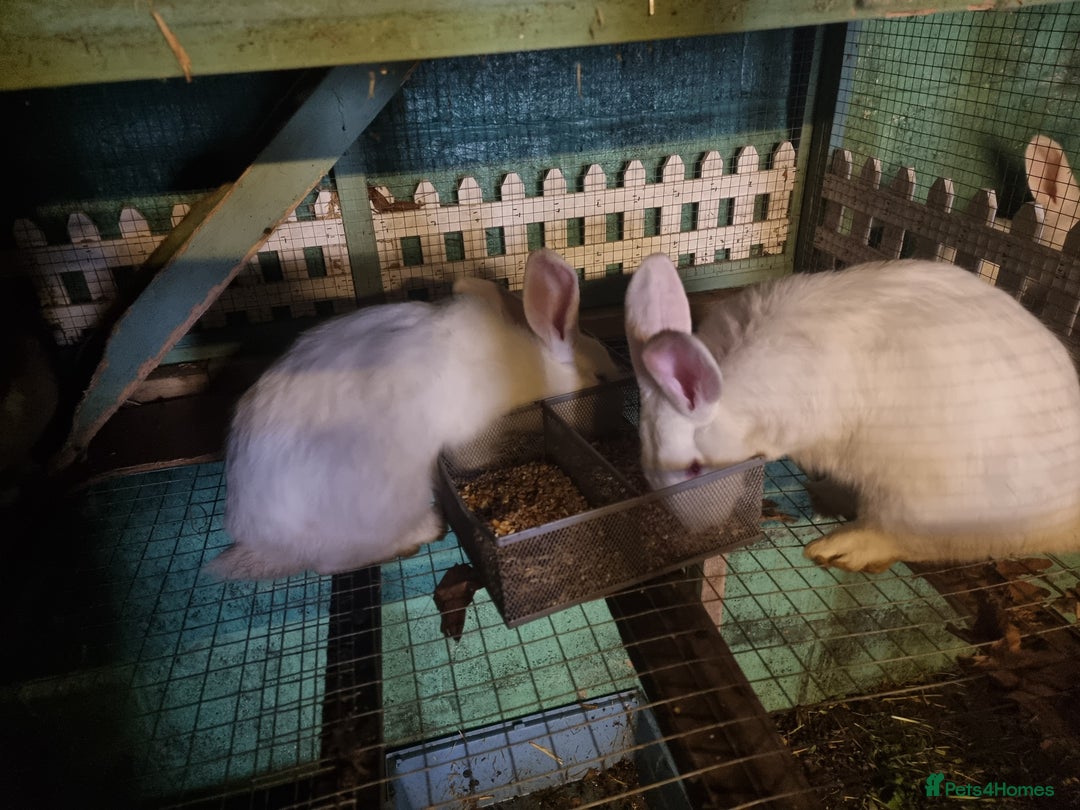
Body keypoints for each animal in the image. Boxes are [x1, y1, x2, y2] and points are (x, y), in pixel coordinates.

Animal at [625, 254, 1080, 573]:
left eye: (695, 468)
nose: (698, 531)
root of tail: (1067, 512)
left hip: (923, 497)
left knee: (909, 538)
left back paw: (841, 548)